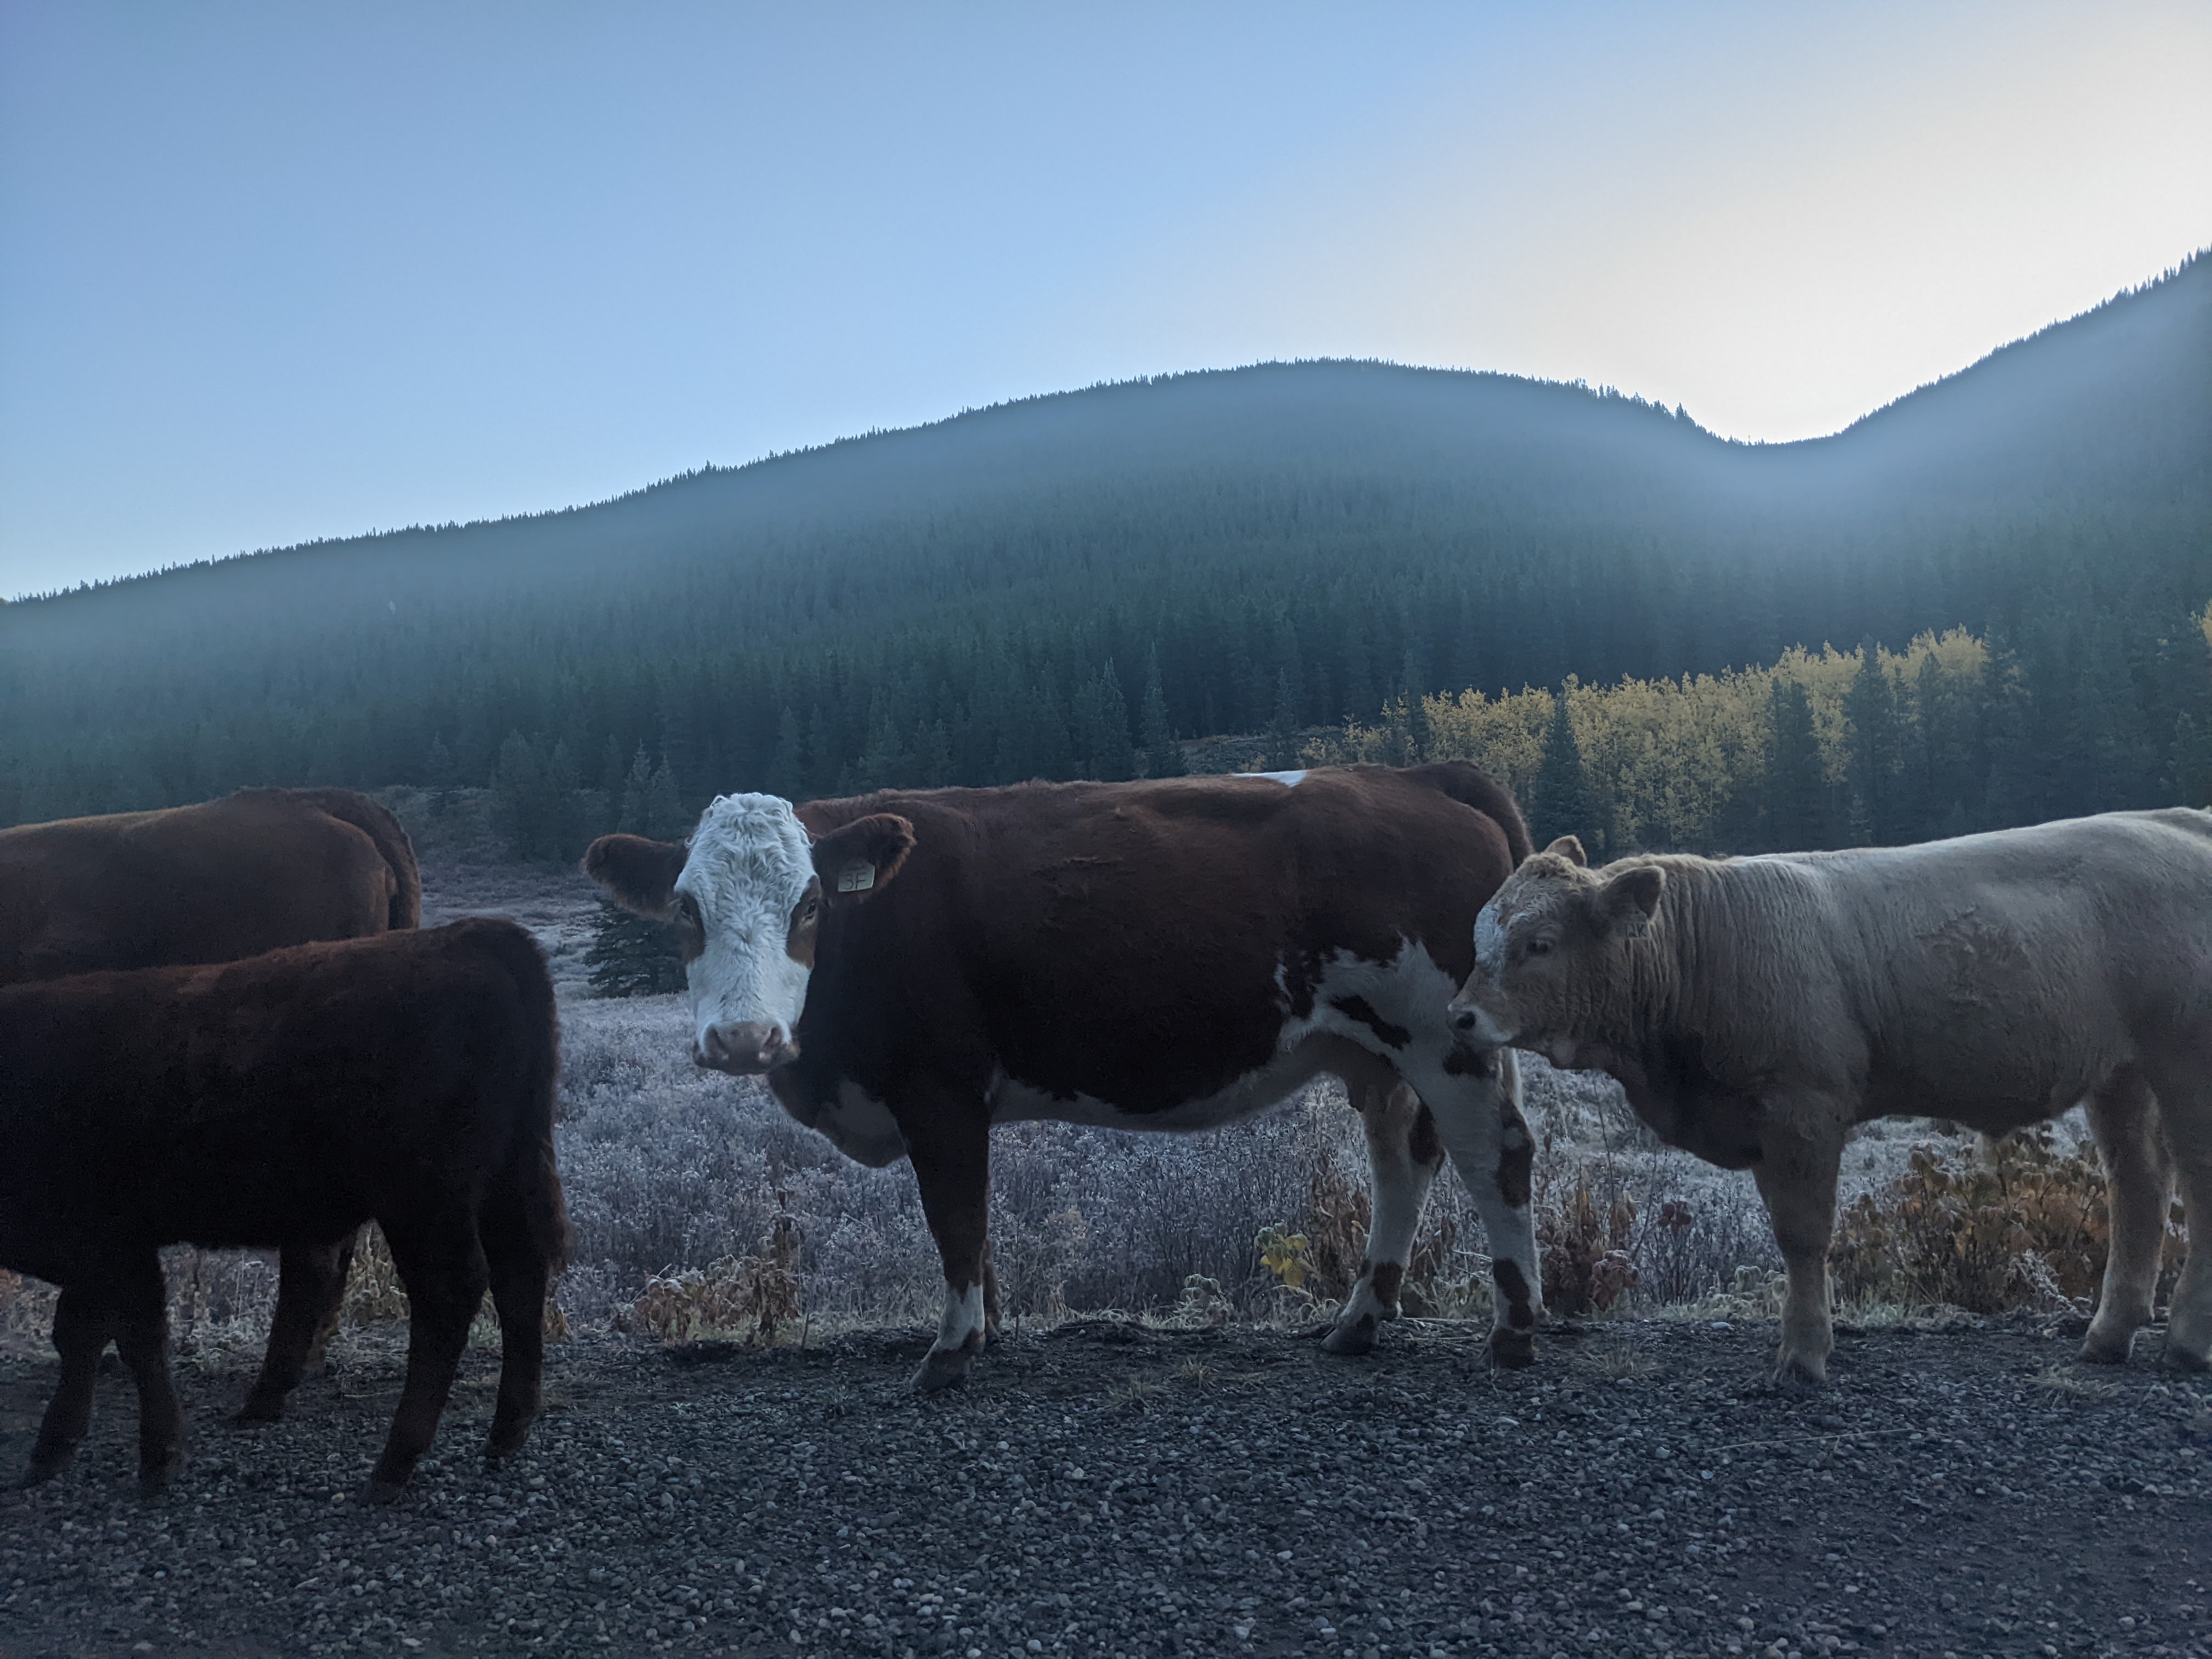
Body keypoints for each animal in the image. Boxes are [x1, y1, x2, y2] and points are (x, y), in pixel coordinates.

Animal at [0, 924, 571, 1504]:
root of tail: (471, 936)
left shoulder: (107, 1245)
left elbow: (134, 1337)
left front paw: (157, 1458)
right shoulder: (97, 1254)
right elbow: (82, 1335)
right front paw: (51, 1453)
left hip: (423, 1203)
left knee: (450, 1294)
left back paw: (392, 1465)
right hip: (507, 1181)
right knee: (520, 1277)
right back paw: (507, 1433)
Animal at [588, 765, 1548, 1389]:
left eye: (811, 904)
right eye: (686, 908)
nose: (744, 1038)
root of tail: (1420, 775)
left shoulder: (939, 1091)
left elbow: (955, 1216)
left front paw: (951, 1353)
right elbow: (976, 1227)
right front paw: (986, 1331)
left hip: (1444, 1042)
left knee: (1495, 1156)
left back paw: (1513, 1332)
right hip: (1381, 1056)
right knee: (1402, 1162)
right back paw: (1360, 1320)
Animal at [1451, 818, 2212, 1389]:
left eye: (1539, 943)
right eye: (1479, 934)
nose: (1460, 1017)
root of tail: (2180, 822)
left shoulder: (1801, 1108)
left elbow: (1803, 1234)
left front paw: (1804, 1356)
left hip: (2185, 1060)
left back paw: (2185, 1340)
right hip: (2122, 1074)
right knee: (2139, 1186)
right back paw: (2109, 1335)